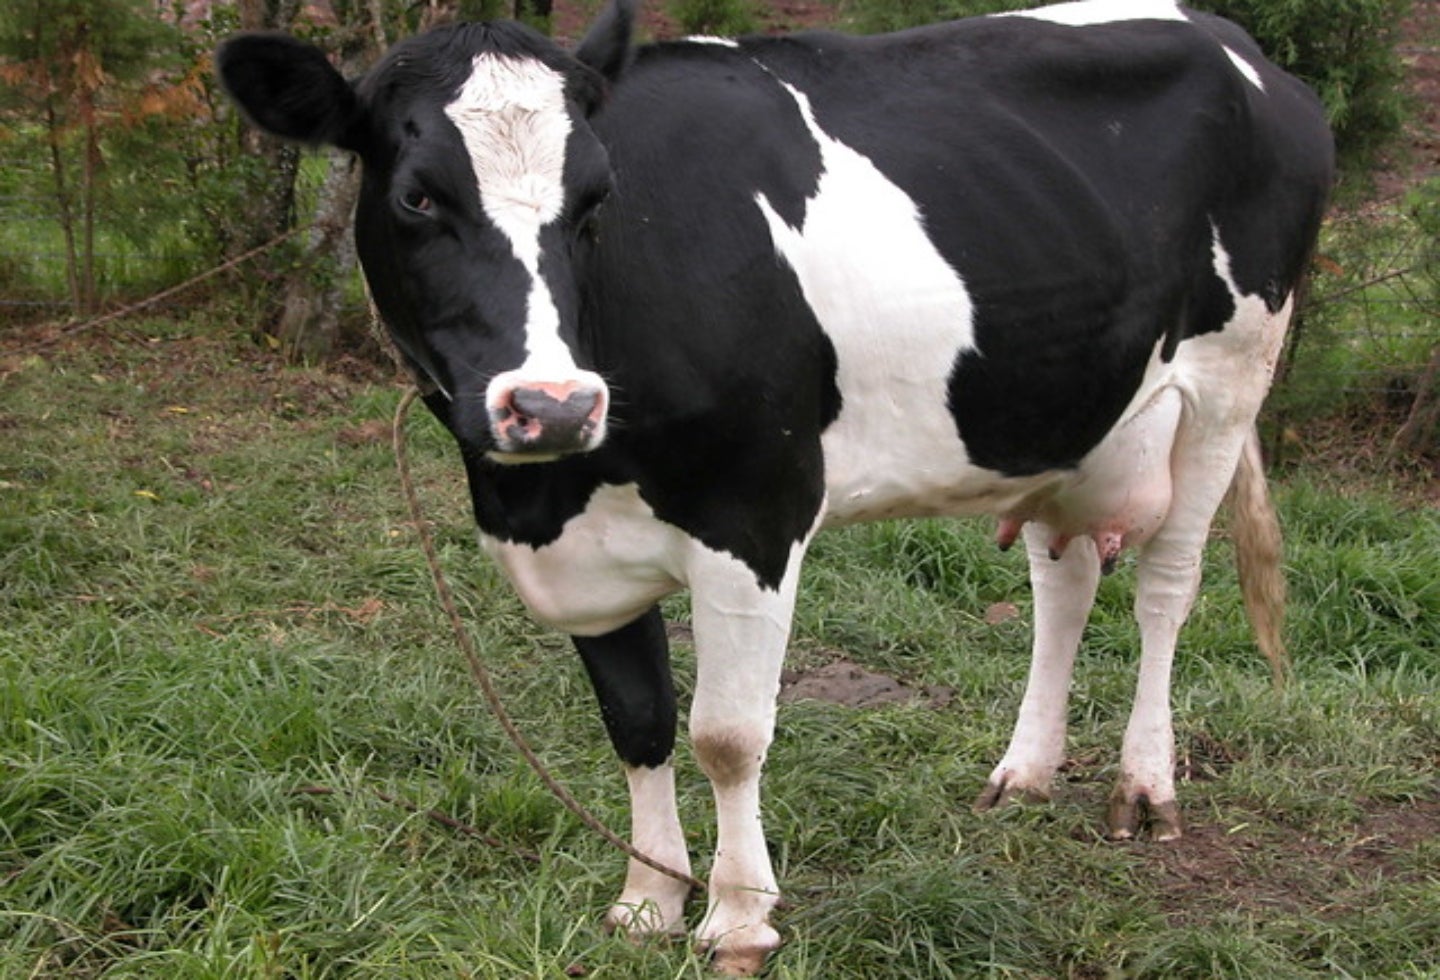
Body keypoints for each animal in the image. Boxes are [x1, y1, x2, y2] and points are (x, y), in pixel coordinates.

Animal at [218, 0, 1333, 972]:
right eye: (417, 195)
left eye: (598, 199)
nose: (552, 404)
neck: (547, 490)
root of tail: (1234, 39)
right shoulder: (584, 551)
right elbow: (638, 720)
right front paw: (648, 899)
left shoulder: (753, 513)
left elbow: (725, 734)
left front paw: (738, 919)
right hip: (1065, 414)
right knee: (1064, 584)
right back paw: (1024, 773)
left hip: (1230, 379)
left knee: (1165, 587)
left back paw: (1144, 787)